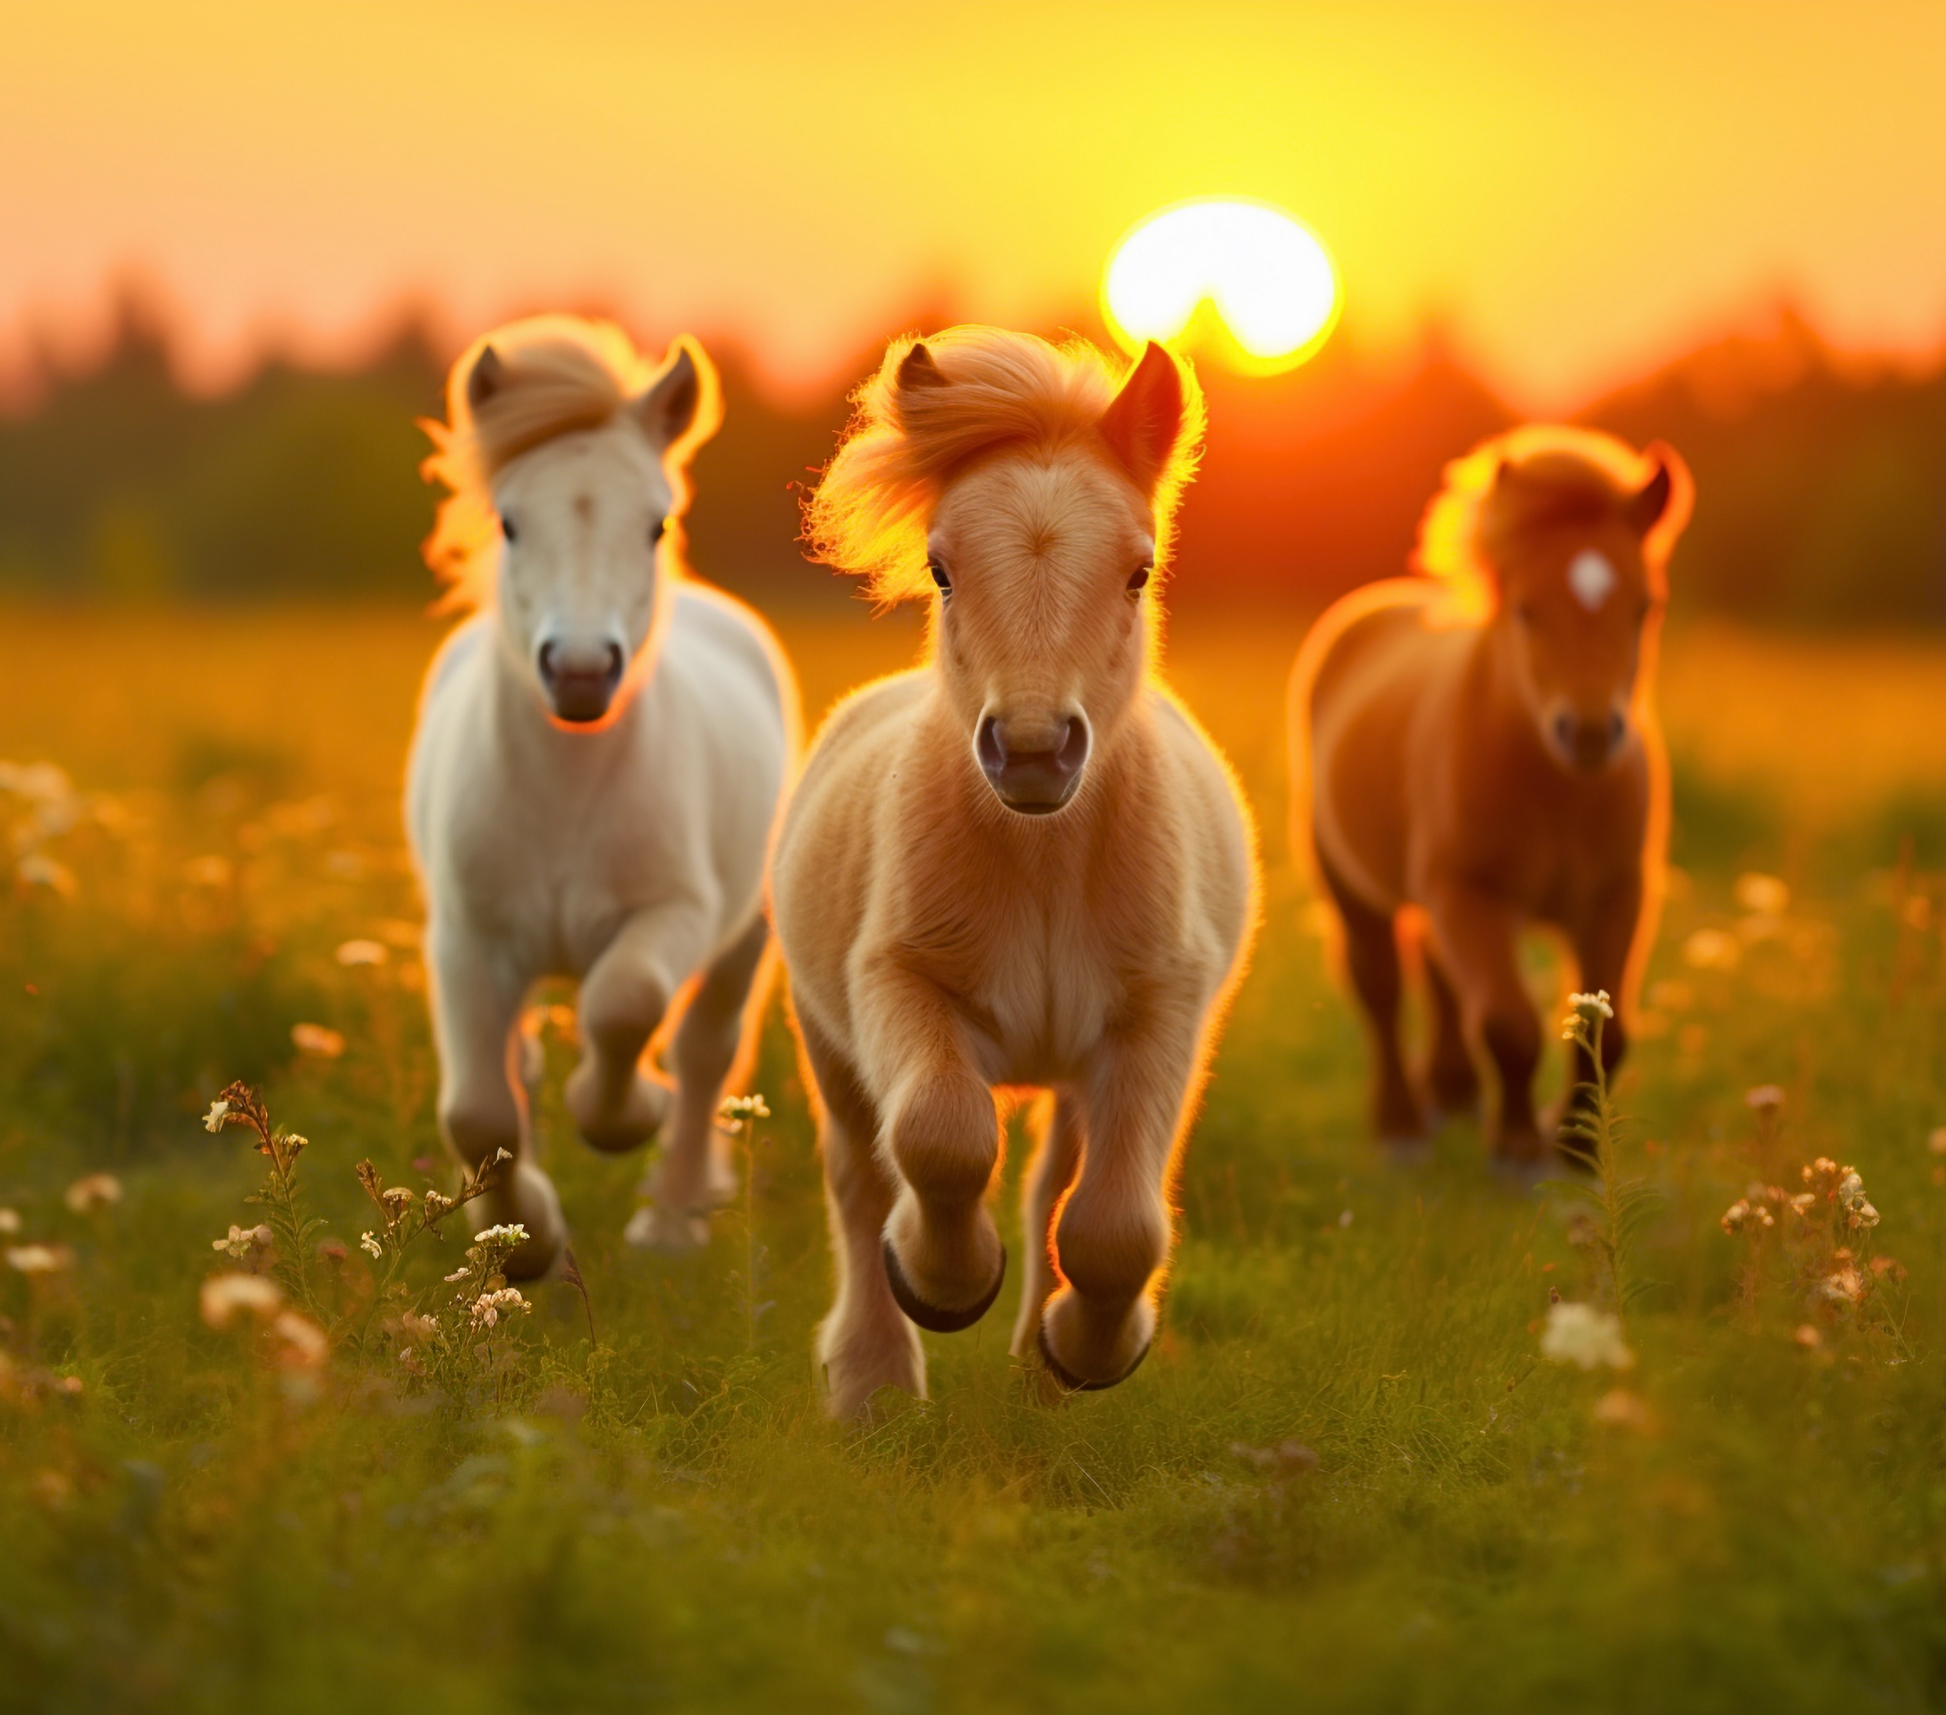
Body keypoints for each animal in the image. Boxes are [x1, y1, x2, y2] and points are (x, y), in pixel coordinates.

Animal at [407, 314, 800, 1278]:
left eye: (656, 524)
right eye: (509, 522)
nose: (581, 671)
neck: (566, 793)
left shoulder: (674, 913)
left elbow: (625, 1007)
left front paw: (626, 1113)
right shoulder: (467, 941)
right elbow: (479, 1109)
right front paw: (524, 1245)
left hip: (745, 930)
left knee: (704, 1053)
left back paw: (674, 1217)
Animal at [772, 327, 1258, 1418]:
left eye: (1138, 569)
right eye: (940, 567)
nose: (1033, 751)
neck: (1041, 863)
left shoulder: (1156, 1014)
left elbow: (1114, 1224)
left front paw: (1086, 1350)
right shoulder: (897, 981)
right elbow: (939, 1138)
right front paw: (944, 1283)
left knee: (1055, 1188)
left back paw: (1042, 1369)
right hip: (828, 1040)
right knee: (857, 1178)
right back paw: (871, 1381)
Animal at [1287, 425, 1692, 1177]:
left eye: (1643, 607)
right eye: (1526, 609)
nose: (1588, 732)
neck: (1557, 791)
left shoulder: (1615, 895)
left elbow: (1606, 1028)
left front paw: (1578, 1149)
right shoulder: (1470, 893)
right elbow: (1509, 1022)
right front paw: (1519, 1150)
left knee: (1440, 978)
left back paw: (1452, 1093)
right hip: (1355, 887)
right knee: (1382, 990)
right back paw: (1402, 1125)